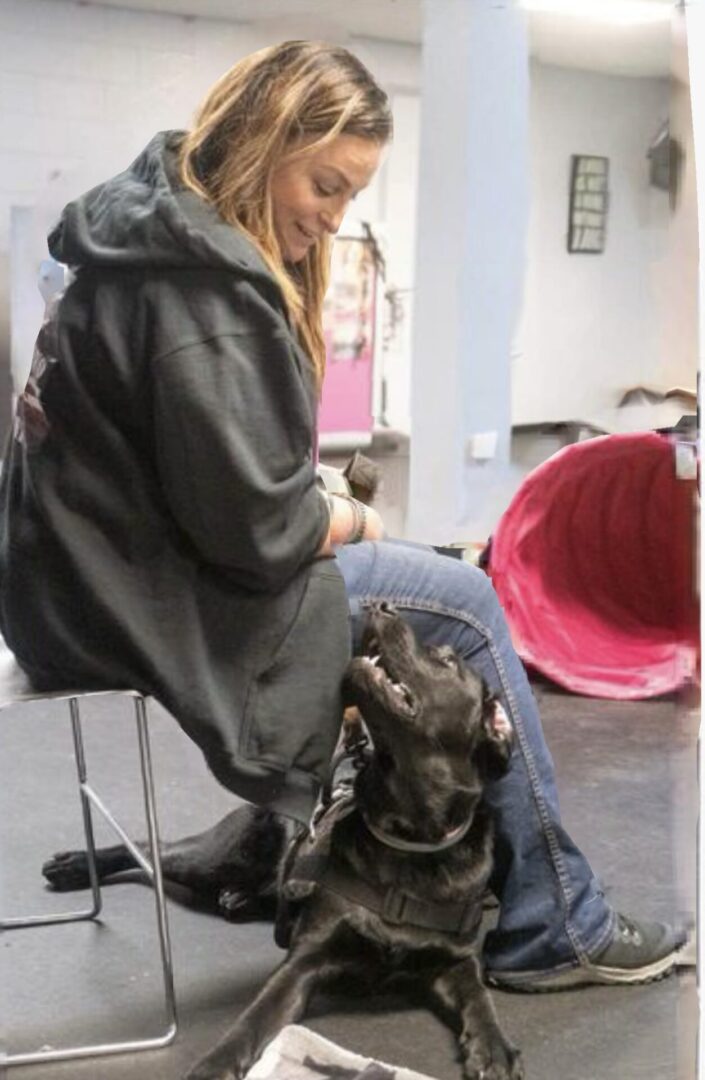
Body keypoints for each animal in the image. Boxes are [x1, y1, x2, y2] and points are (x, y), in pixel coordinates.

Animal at [39, 609, 522, 1080]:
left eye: (448, 661)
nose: (382, 606)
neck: (410, 839)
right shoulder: (304, 961)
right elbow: (253, 1020)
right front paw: (215, 1064)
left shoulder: (456, 960)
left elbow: (480, 998)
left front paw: (495, 1047)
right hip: (217, 855)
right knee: (151, 845)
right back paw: (73, 867)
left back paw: (238, 898)